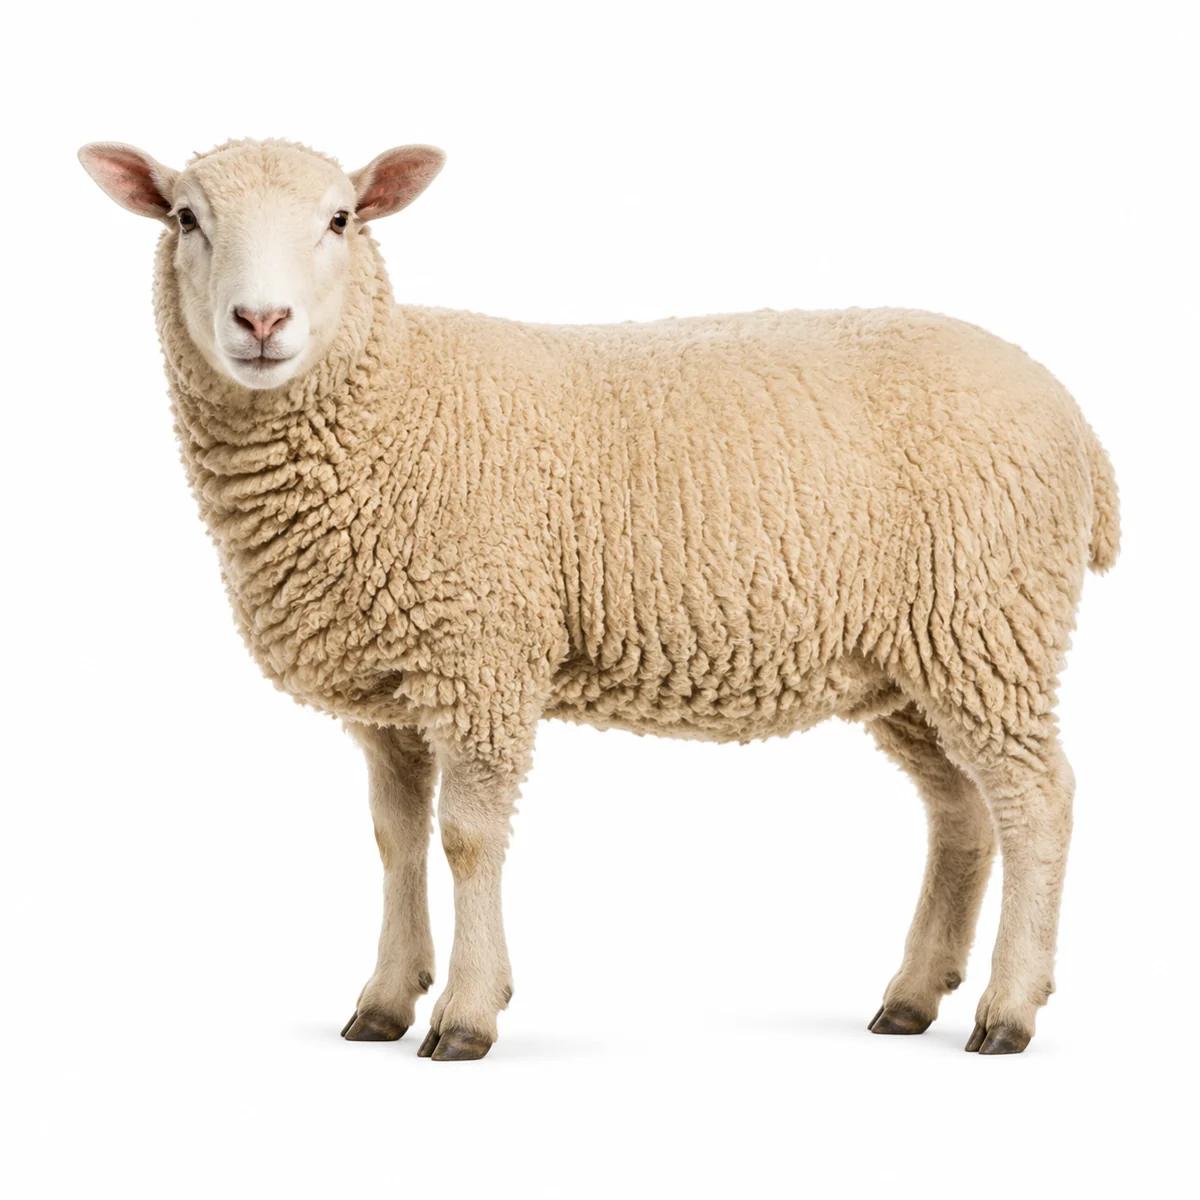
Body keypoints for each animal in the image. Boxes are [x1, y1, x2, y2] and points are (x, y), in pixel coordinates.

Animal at [79, 137, 1119, 1060]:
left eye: (341, 218)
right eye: (185, 218)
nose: (261, 322)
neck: (394, 402)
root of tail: (1072, 417)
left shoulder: (483, 657)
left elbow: (466, 839)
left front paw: (466, 1015)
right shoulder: (393, 691)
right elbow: (395, 839)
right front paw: (383, 1000)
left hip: (989, 620)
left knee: (1037, 799)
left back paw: (1009, 1010)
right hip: (913, 660)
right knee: (961, 811)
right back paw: (912, 996)